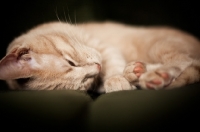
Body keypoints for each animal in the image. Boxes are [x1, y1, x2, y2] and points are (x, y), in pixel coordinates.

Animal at [0, 20, 200, 93]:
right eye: (83, 82)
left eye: (70, 62)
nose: (97, 67)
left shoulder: (105, 48)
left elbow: (113, 65)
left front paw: (117, 79)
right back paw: (140, 72)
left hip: (159, 46)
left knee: (184, 60)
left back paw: (152, 74)